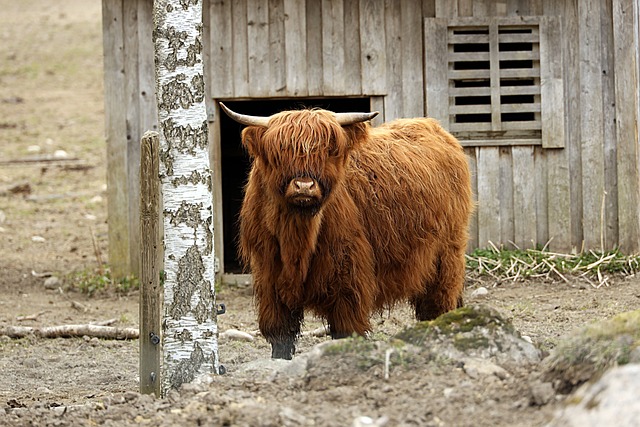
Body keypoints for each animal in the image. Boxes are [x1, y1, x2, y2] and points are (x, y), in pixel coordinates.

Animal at [221, 102, 476, 360]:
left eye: (328, 150)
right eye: (280, 150)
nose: (304, 186)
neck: (296, 237)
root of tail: (435, 128)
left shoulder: (347, 274)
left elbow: (345, 330)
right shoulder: (268, 275)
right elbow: (280, 333)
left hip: (446, 252)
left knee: (439, 303)